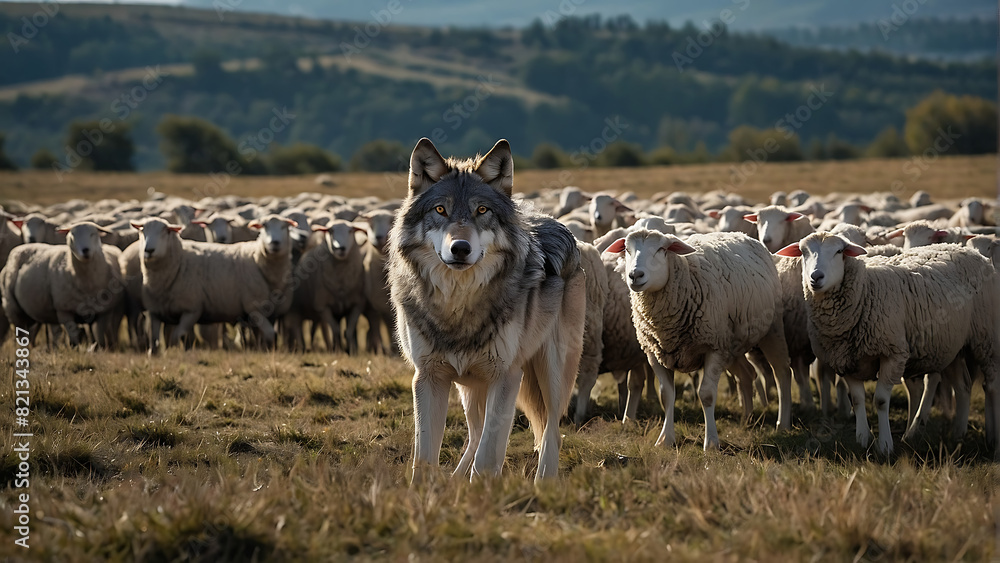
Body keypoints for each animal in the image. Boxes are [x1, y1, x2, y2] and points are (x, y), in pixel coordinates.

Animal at [135, 215, 295, 354]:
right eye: (142, 231)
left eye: (165, 231)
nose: (148, 250)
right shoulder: (156, 311)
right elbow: (158, 341)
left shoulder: (192, 310)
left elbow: (177, 336)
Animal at [283, 219, 366, 353]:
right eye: (330, 231)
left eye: (350, 230)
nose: (340, 248)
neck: (341, 281)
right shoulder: (323, 306)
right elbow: (336, 330)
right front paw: (339, 351)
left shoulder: (357, 305)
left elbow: (348, 331)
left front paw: (352, 351)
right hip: (296, 309)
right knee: (296, 328)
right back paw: (302, 349)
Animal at [387, 137, 586, 484]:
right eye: (441, 210)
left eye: (482, 210)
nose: (460, 248)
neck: (459, 304)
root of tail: (554, 221)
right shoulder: (428, 376)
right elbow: (424, 457)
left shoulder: (506, 375)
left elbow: (488, 457)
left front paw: (482, 493)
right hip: (470, 386)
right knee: (476, 432)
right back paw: (456, 479)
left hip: (552, 371)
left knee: (551, 430)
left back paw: (544, 483)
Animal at [605, 229, 794, 450]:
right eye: (627, 249)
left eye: (661, 249)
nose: (635, 275)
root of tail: (743, 234)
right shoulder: (655, 352)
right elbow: (666, 395)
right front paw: (665, 439)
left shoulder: (714, 347)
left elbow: (707, 395)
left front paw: (711, 443)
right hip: (732, 343)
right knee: (747, 375)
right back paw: (747, 419)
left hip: (772, 328)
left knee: (782, 373)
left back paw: (783, 424)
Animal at [776, 233, 1000, 455]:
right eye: (803, 252)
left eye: (839, 251)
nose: (816, 277)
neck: (865, 290)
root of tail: (968, 250)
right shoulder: (845, 359)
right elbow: (857, 399)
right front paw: (862, 439)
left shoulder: (892, 353)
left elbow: (881, 401)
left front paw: (884, 445)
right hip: (952, 345)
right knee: (963, 386)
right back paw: (958, 435)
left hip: (985, 336)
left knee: (991, 385)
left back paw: (992, 439)